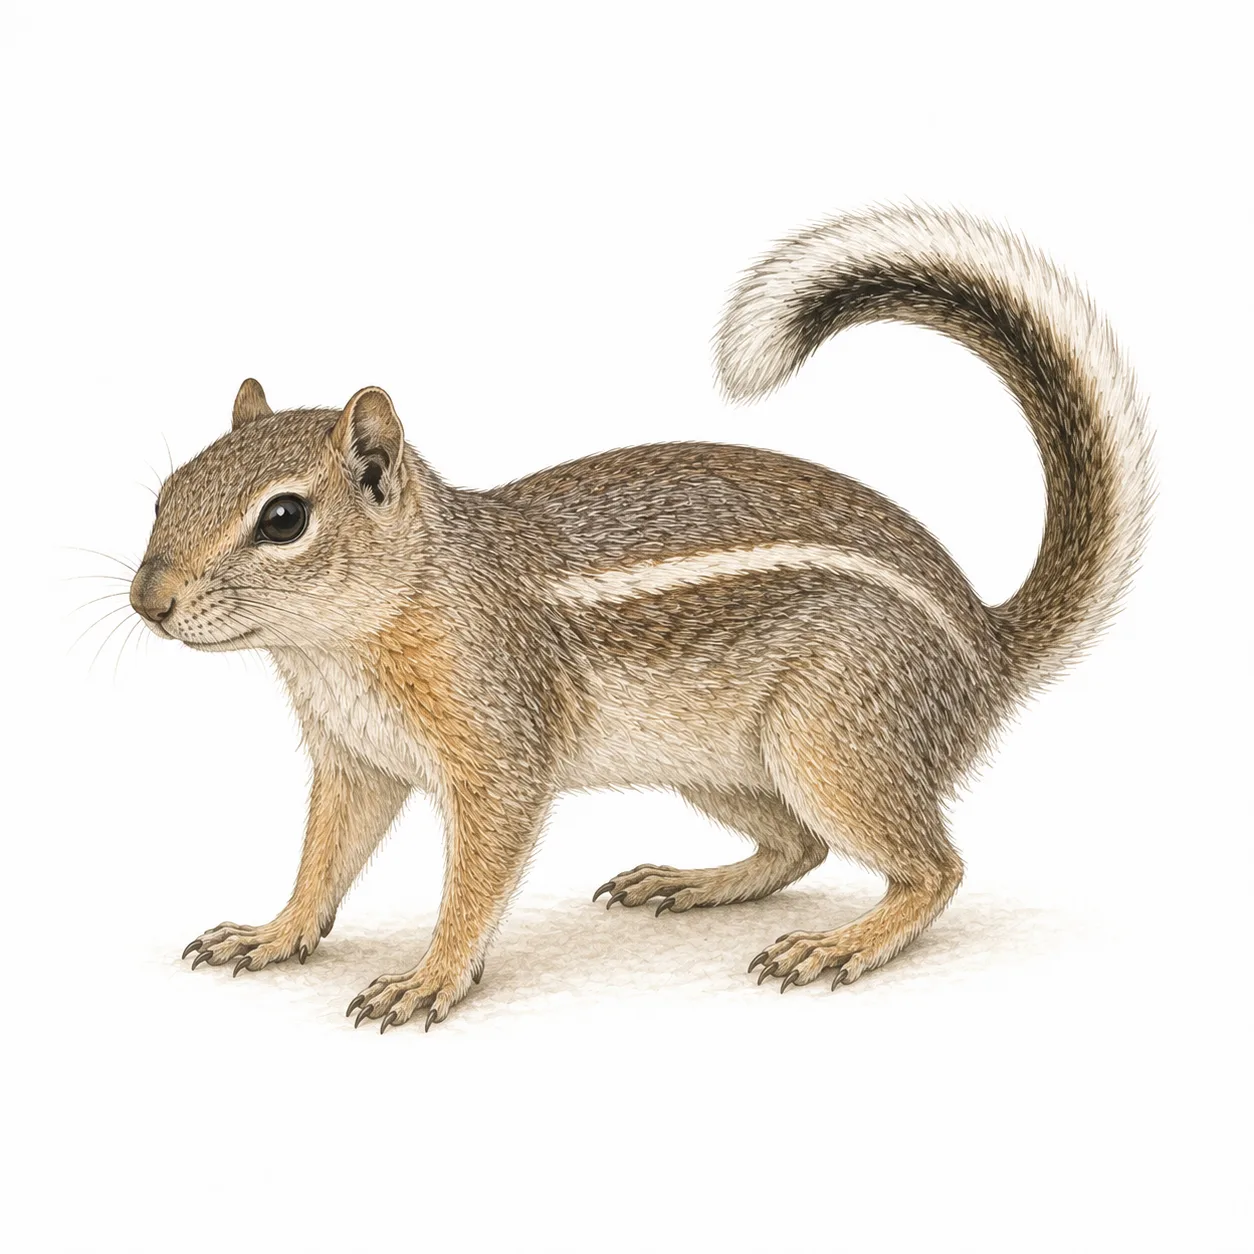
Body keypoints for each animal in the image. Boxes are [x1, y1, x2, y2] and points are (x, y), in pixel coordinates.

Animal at [131, 205, 1153, 1032]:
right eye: (166, 492)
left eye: (283, 518)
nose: (148, 602)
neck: (345, 640)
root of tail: (986, 647)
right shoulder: (355, 761)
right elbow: (324, 858)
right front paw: (273, 933)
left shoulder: (498, 751)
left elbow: (476, 878)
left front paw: (430, 977)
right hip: (727, 765)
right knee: (800, 843)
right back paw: (691, 882)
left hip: (833, 737)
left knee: (933, 868)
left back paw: (840, 945)